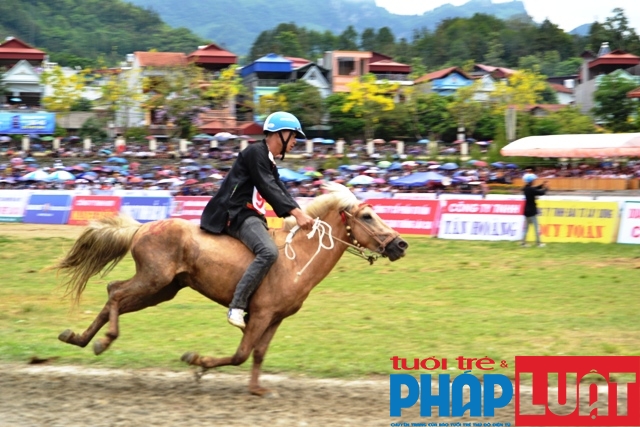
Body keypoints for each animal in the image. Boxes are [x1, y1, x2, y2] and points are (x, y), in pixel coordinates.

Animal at [53, 182, 404, 396]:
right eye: (367, 216)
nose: (401, 244)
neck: (297, 259)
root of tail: (142, 227)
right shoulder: (260, 314)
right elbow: (240, 354)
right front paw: (197, 362)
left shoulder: (275, 318)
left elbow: (258, 354)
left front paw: (257, 389)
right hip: (152, 280)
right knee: (116, 293)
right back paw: (102, 341)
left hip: (161, 290)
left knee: (114, 293)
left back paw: (78, 338)